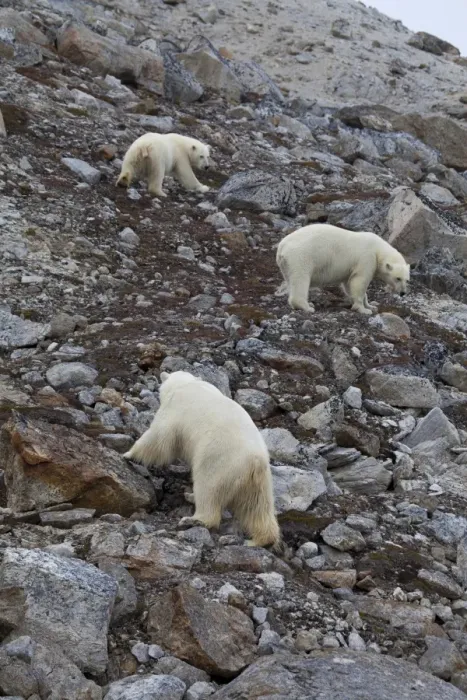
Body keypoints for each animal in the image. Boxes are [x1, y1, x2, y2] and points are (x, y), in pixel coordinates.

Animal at [124, 370, 281, 551]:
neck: (186, 384)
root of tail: (255, 460)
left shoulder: (174, 409)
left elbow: (159, 437)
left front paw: (128, 454)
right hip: (259, 482)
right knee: (257, 507)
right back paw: (260, 540)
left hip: (218, 462)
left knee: (208, 490)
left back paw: (193, 518)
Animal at [276, 223, 410, 315]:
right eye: (398, 278)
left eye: (407, 280)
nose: (403, 293)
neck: (378, 250)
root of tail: (282, 246)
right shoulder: (366, 259)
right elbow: (359, 281)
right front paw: (363, 309)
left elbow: (349, 284)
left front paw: (370, 306)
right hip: (301, 256)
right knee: (301, 279)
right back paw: (307, 306)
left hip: (286, 265)